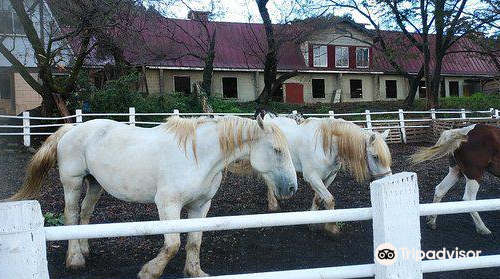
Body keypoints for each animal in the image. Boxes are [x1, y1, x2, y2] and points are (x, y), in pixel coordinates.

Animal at [10, 115, 296, 279]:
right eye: (277, 150)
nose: (292, 188)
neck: (198, 156)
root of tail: (71, 129)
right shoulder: (168, 205)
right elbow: (173, 244)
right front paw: (150, 271)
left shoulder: (201, 206)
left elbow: (194, 241)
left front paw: (195, 272)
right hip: (73, 182)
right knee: (70, 215)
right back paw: (75, 259)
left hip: (95, 184)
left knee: (85, 214)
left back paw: (85, 249)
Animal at [233, 116, 390, 238]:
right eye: (375, 156)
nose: (387, 179)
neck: (324, 146)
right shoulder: (312, 178)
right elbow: (329, 199)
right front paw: (331, 228)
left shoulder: (329, 176)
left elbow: (319, 198)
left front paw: (312, 222)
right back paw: (273, 204)